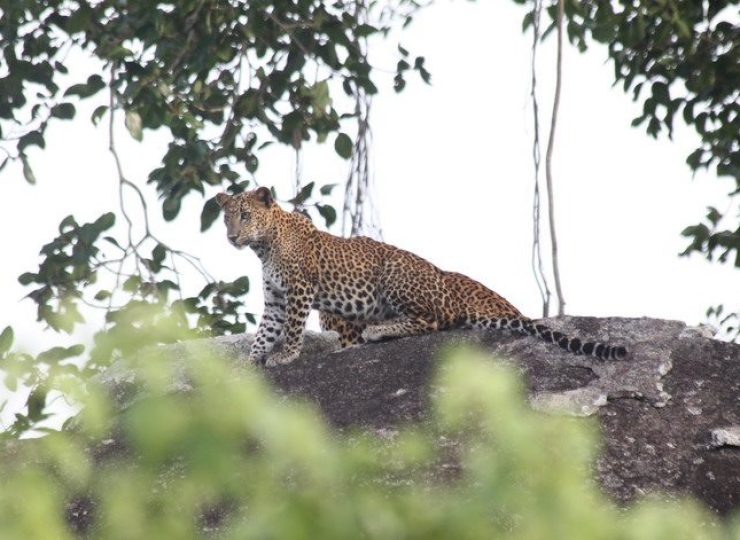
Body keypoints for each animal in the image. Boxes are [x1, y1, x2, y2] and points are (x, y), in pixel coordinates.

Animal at [217, 186, 628, 368]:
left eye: (246, 216)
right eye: (227, 217)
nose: (231, 237)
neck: (264, 246)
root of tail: (449, 287)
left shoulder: (300, 289)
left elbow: (291, 328)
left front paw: (286, 354)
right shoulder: (275, 298)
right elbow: (264, 332)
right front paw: (249, 363)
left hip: (396, 276)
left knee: (435, 320)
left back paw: (377, 331)